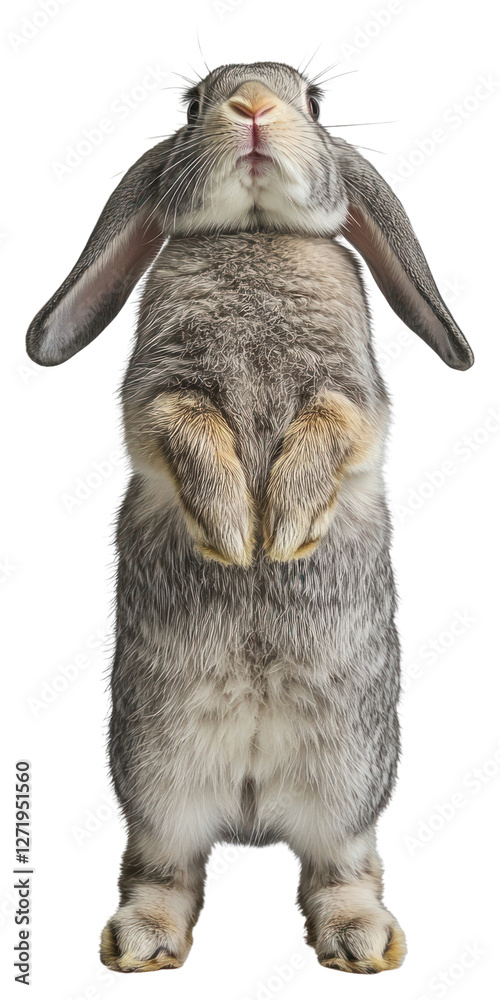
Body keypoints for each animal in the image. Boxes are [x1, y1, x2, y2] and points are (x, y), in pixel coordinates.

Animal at [26, 61, 473, 975]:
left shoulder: (352, 396)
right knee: (163, 865)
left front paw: (284, 535)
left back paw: (363, 942)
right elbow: (187, 432)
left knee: (341, 864)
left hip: (350, 780)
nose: (254, 105)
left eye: (315, 101)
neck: (255, 234)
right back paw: (141, 943)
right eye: (194, 101)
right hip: (157, 775)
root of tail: (254, 810)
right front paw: (237, 539)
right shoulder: (159, 393)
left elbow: (333, 428)